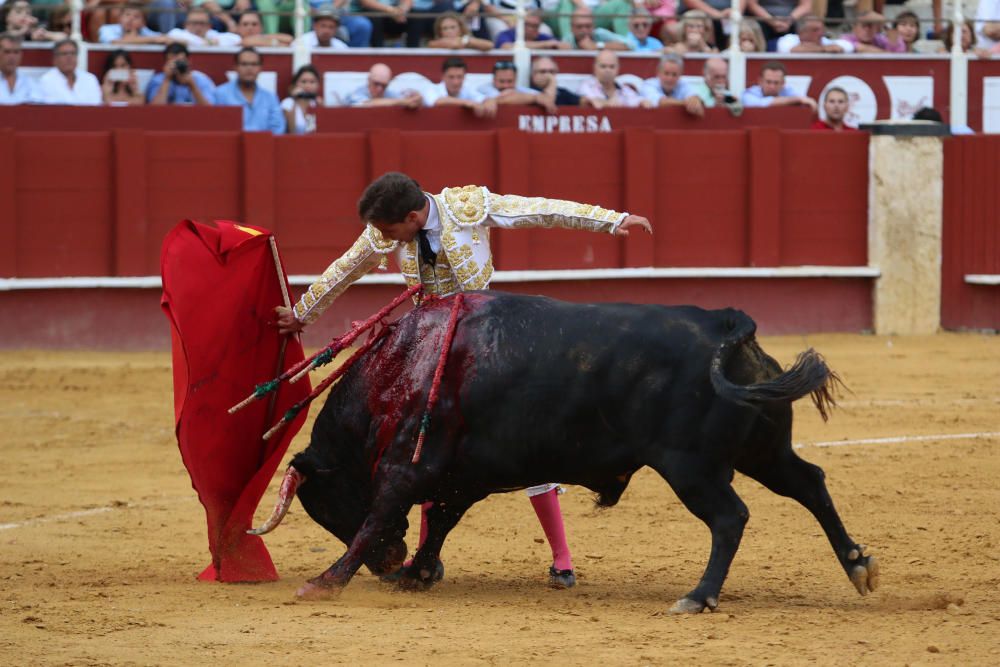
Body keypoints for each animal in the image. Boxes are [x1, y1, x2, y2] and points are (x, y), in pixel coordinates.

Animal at [254, 290, 880, 612]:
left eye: (323, 504)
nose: (388, 563)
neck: (403, 362)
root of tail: (727, 326)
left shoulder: (406, 468)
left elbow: (378, 517)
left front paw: (328, 580)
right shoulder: (460, 476)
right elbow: (441, 523)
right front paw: (418, 572)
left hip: (691, 466)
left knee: (730, 517)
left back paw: (698, 597)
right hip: (760, 450)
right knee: (809, 482)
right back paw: (858, 564)